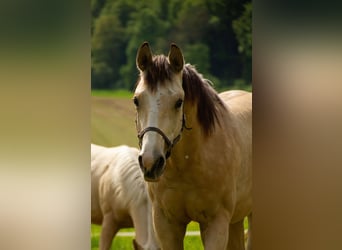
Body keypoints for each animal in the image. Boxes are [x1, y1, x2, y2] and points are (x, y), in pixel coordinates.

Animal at [133, 42, 251, 249]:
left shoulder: (216, 224)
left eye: (178, 102)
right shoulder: (166, 225)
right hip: (236, 220)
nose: (150, 162)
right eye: (136, 100)